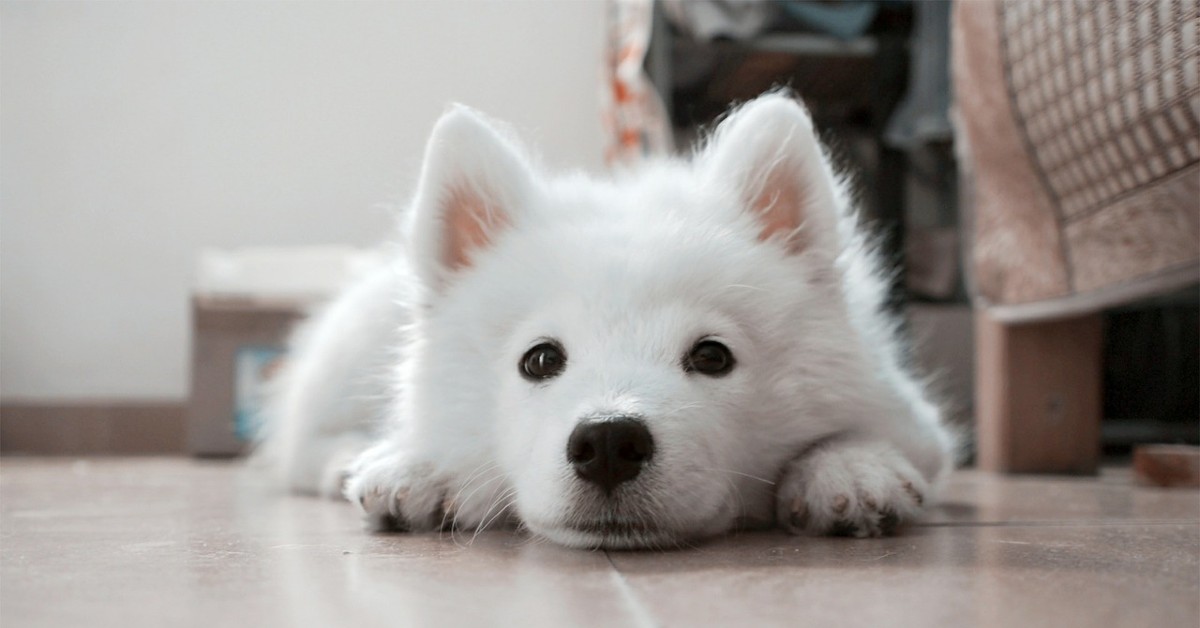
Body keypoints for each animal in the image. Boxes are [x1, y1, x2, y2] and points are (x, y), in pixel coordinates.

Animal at [260, 93, 955, 549]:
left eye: (712, 356)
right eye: (541, 359)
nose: (609, 444)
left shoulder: (912, 418)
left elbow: (864, 437)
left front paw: (850, 469)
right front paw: (421, 465)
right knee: (300, 443)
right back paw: (349, 458)